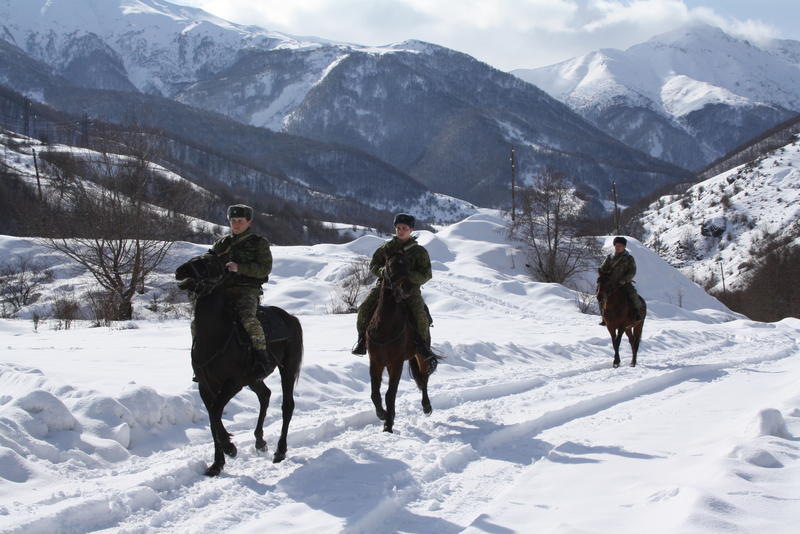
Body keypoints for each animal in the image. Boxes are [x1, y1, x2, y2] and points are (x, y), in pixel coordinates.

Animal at [176, 255, 304, 478]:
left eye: (209, 263)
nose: (180, 271)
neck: (214, 336)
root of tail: (291, 318)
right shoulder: (205, 386)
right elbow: (212, 417)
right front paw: (219, 460)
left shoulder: (234, 382)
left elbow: (216, 412)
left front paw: (227, 451)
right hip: (254, 379)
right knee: (265, 395)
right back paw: (260, 441)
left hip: (286, 370)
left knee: (287, 405)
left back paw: (280, 451)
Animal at [368, 253, 440, 434]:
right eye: (389, 265)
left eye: (408, 266)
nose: (406, 288)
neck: (385, 327)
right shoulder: (376, 361)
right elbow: (375, 393)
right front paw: (382, 414)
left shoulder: (396, 363)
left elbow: (390, 394)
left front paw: (388, 424)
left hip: (421, 354)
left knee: (424, 379)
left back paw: (426, 407)